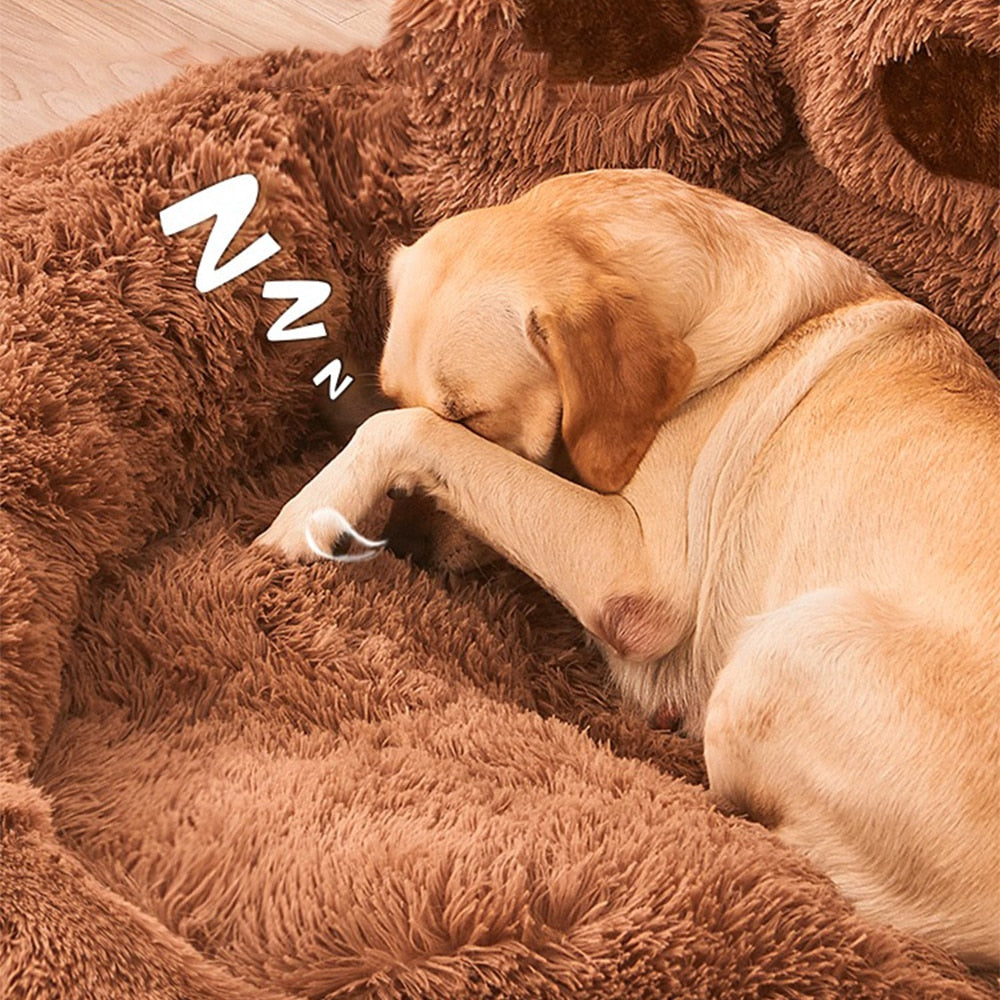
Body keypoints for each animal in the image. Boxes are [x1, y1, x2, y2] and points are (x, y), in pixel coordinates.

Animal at [258, 168, 1000, 964]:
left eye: (472, 418)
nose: (407, 548)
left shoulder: (637, 577)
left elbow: (397, 434)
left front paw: (300, 518)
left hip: (791, 645)